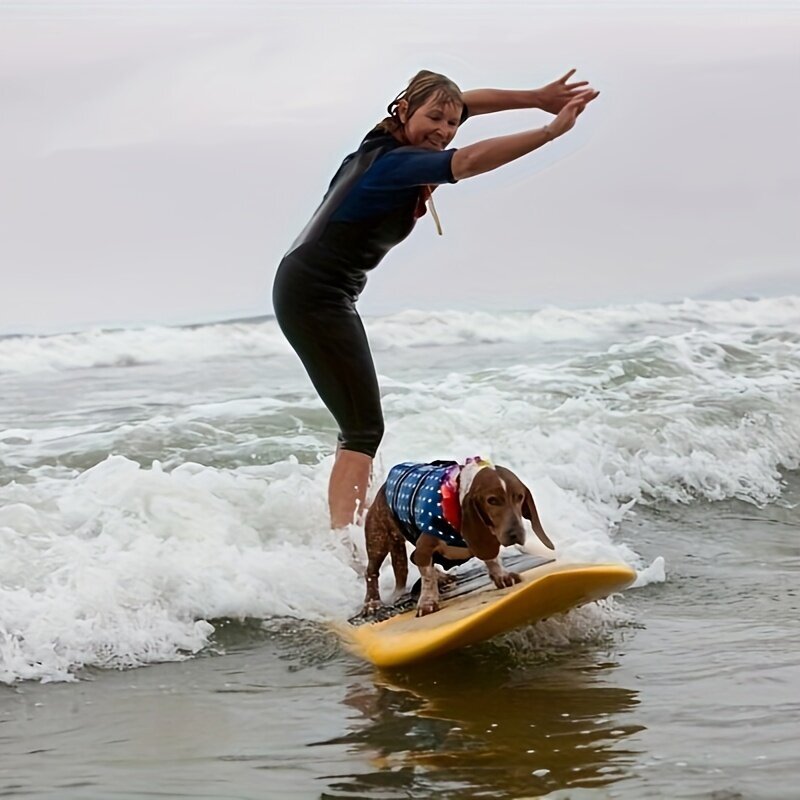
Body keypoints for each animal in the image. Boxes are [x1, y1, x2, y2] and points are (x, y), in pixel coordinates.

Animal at [364, 456, 556, 620]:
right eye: (492, 500)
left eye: (519, 497)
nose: (515, 533)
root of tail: (383, 487)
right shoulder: (424, 547)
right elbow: (427, 577)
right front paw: (427, 602)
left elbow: (492, 559)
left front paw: (501, 575)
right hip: (378, 541)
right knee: (371, 572)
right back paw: (371, 603)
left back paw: (442, 577)